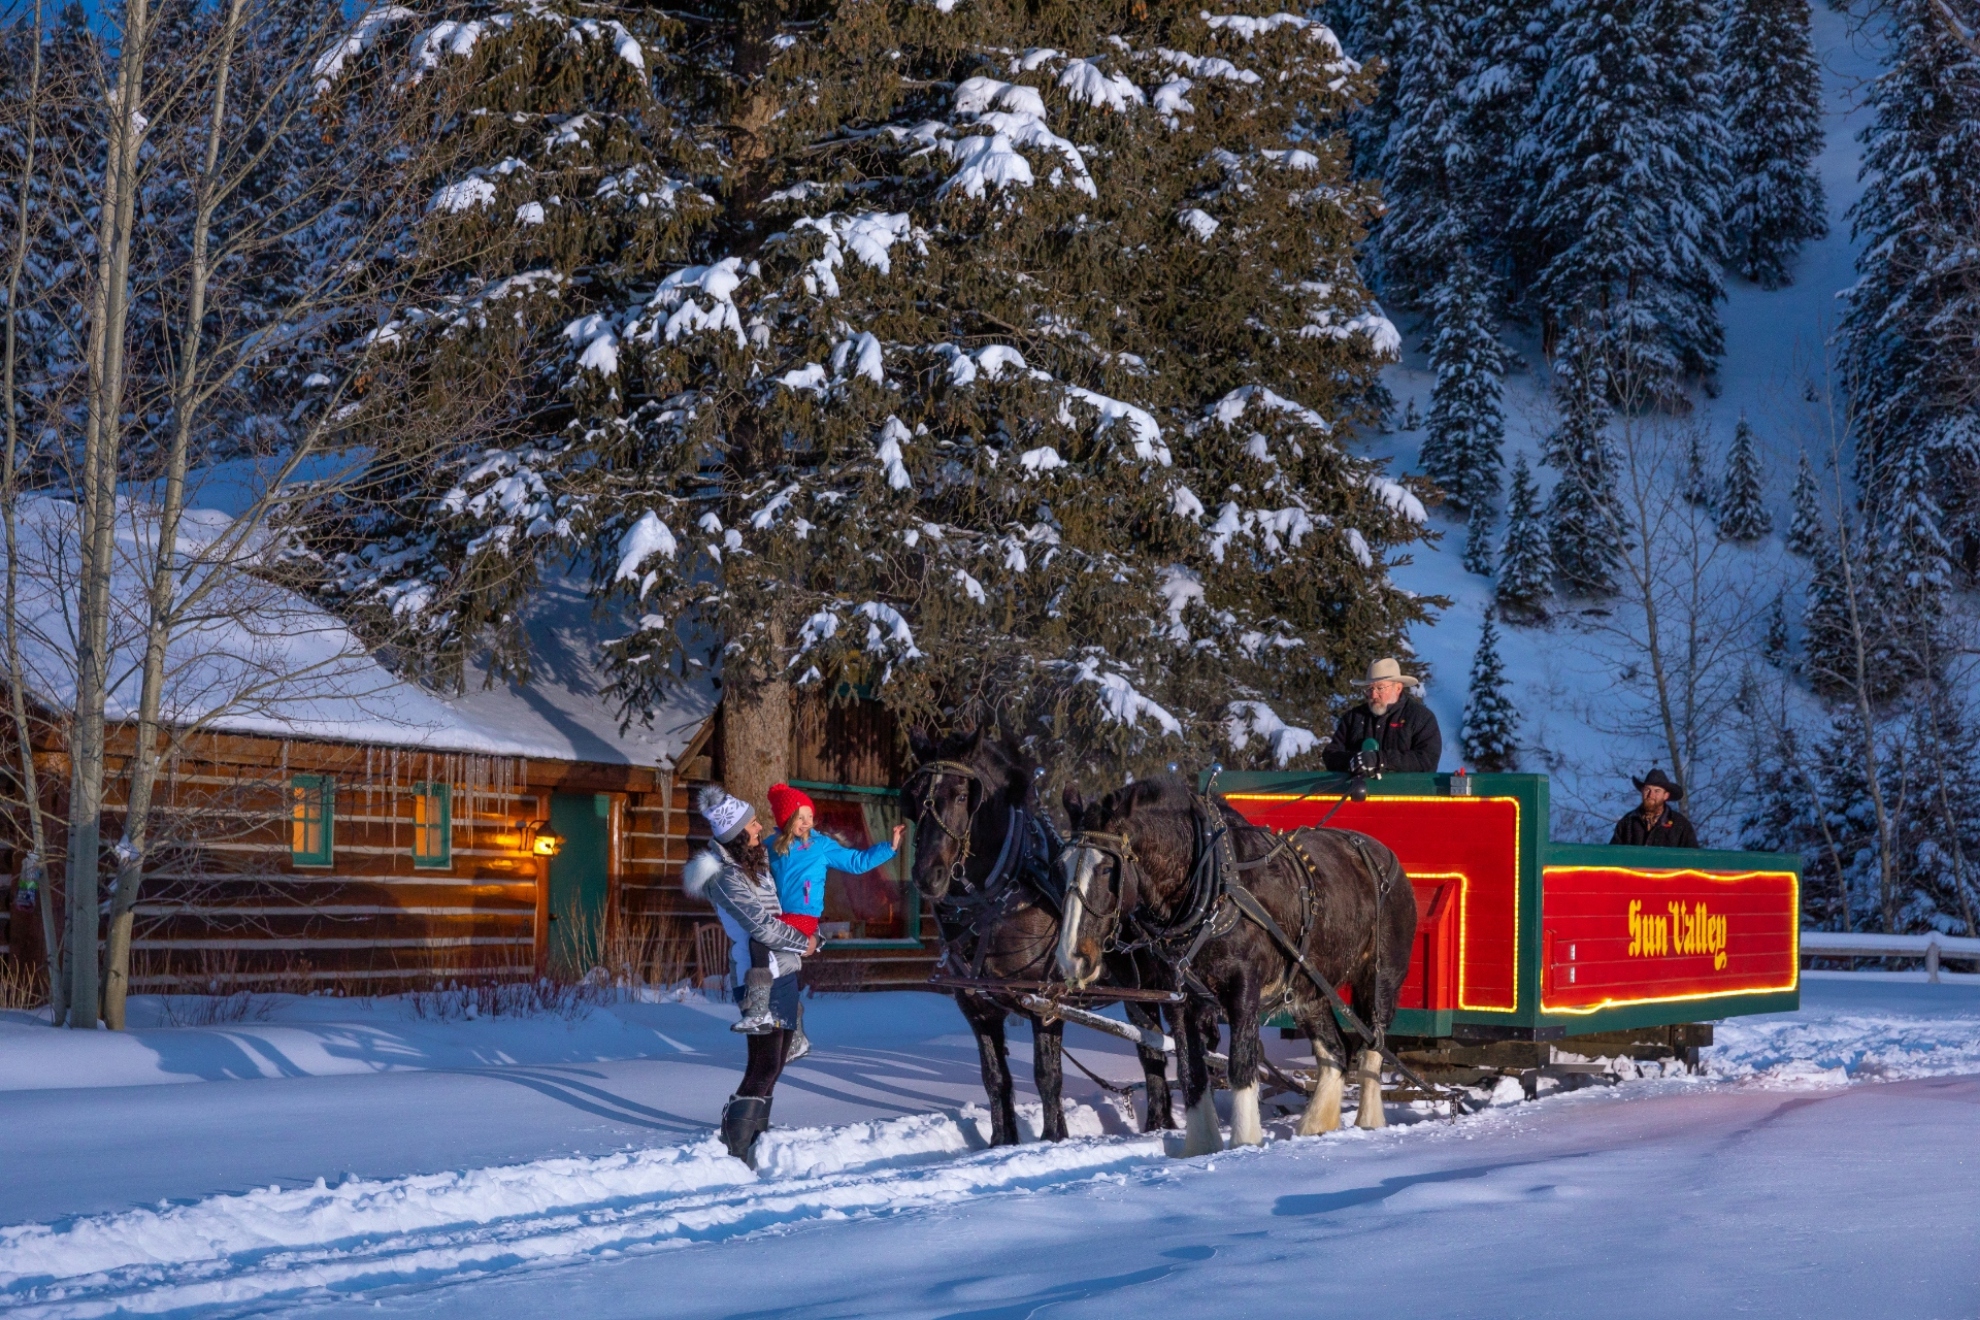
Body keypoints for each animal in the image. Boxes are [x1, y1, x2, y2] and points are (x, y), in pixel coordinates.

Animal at [906, 728, 1172, 1147]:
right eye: (915, 797)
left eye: (962, 795)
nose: (927, 875)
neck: (995, 902)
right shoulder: (976, 1007)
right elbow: (995, 1079)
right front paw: (1001, 1143)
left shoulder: (1046, 1001)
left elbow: (1047, 1075)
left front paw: (1052, 1138)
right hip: (1139, 993)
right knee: (1153, 1049)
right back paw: (1160, 1123)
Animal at [1061, 779, 1417, 1147]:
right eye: (1062, 864)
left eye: (1107, 868)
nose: (1072, 958)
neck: (1215, 888)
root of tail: (1387, 857)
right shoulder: (1179, 999)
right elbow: (1191, 1072)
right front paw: (1201, 1145)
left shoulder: (1243, 988)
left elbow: (1241, 1066)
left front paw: (1245, 1142)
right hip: (1310, 990)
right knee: (1336, 1051)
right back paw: (1315, 1126)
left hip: (1379, 981)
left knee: (1373, 1047)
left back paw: (1368, 1124)